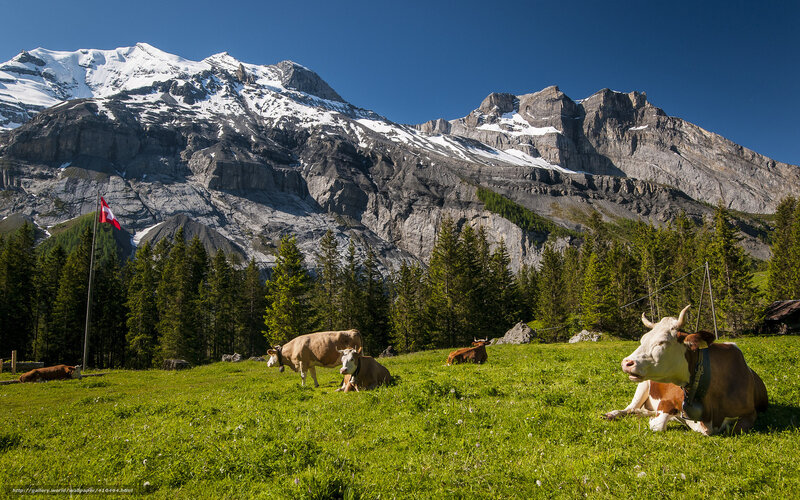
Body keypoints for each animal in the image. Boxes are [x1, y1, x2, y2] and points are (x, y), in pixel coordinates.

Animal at [604, 305, 769, 435]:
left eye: (662, 342)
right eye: (643, 339)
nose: (626, 363)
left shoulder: (750, 413)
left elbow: (735, 429)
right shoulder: (667, 401)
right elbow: (658, 425)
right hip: (643, 385)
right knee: (630, 408)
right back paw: (613, 414)